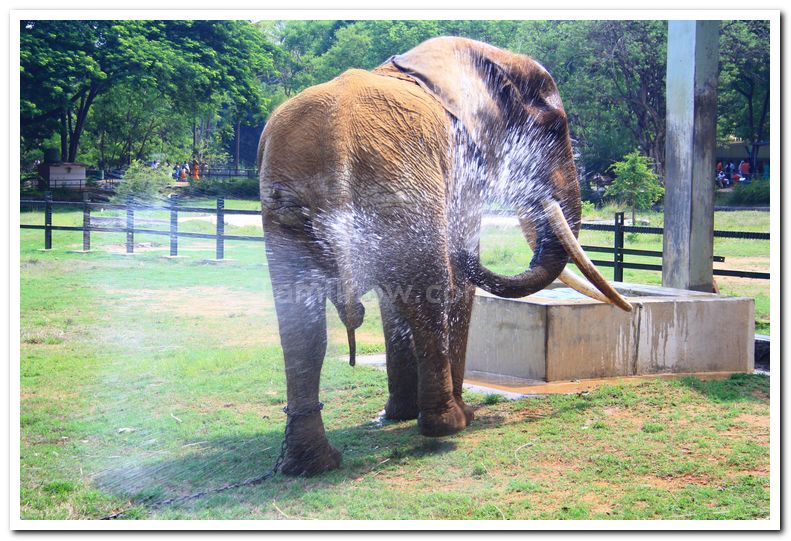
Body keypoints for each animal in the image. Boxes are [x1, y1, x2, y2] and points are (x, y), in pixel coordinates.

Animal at [258, 38, 632, 474]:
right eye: (554, 127)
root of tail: (335, 139)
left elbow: (391, 299)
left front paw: (398, 415)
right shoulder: (462, 163)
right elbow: (455, 282)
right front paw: (448, 413)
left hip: (287, 210)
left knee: (300, 320)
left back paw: (312, 463)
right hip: (405, 190)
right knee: (431, 289)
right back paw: (451, 423)